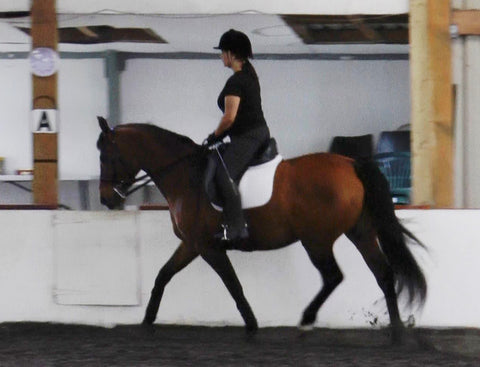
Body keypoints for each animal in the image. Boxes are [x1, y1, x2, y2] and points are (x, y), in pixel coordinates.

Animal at [95, 118, 426, 344]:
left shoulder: (206, 246)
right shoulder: (191, 245)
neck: (185, 175)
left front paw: (252, 325)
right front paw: (147, 322)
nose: (106, 199)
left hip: (316, 240)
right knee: (383, 273)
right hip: (360, 232)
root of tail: (351, 163)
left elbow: (233, 285)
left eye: (105, 156)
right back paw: (396, 332)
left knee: (334, 276)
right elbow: (162, 276)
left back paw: (306, 320)